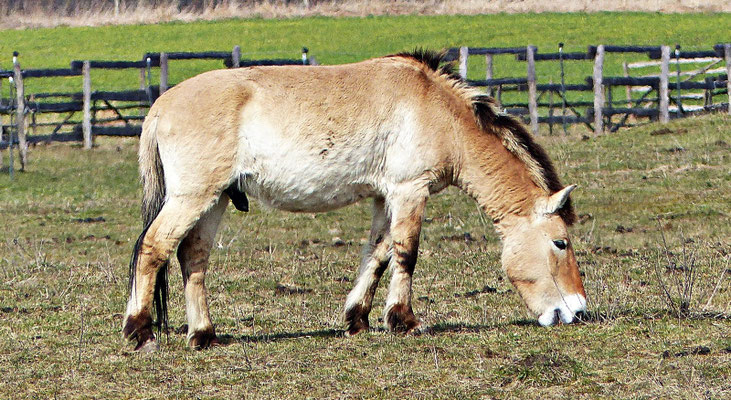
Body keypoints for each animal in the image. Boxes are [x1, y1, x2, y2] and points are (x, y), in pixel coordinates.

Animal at [122, 50, 587, 351]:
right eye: (560, 242)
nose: (578, 312)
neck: (439, 111)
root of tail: (160, 107)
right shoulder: (409, 190)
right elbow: (406, 252)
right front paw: (404, 320)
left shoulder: (385, 197)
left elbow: (378, 254)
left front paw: (358, 318)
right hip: (192, 197)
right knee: (153, 248)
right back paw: (141, 331)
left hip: (215, 199)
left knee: (192, 257)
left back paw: (203, 335)